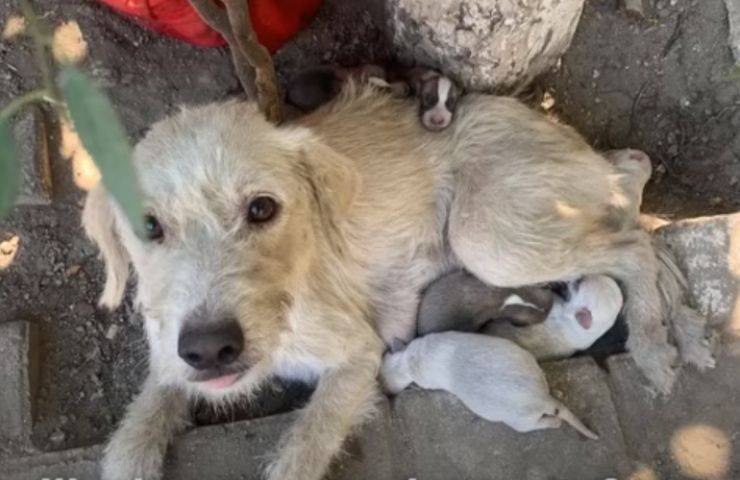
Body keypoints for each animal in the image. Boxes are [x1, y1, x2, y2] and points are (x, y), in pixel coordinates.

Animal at [378, 332, 600, 440]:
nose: (381, 391)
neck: (407, 361)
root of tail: (541, 398)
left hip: (520, 422)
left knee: (544, 423)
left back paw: (554, 422)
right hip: (527, 360)